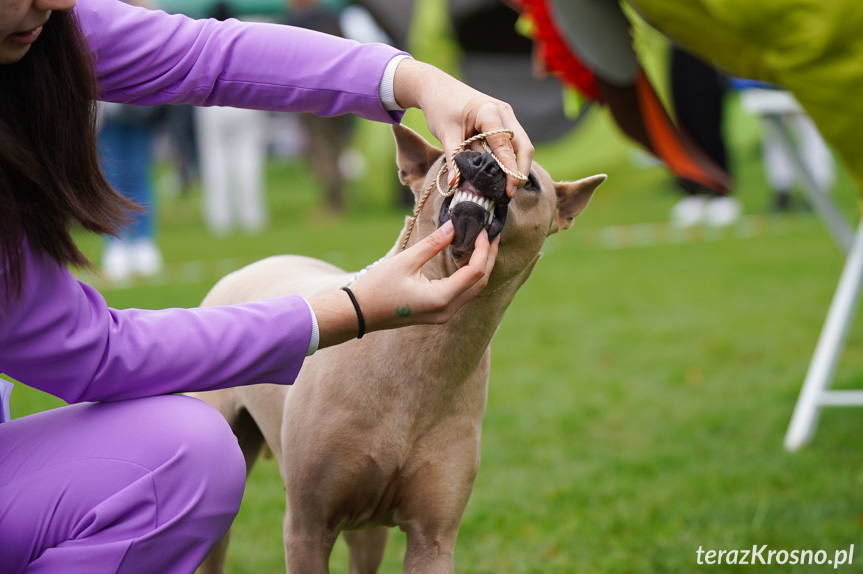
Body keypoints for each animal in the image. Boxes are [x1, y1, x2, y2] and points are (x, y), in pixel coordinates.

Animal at [192, 127, 604, 574]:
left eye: (528, 181)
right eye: (460, 151)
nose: (484, 165)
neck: (424, 360)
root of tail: (253, 265)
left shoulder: (433, 538)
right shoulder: (307, 529)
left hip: (367, 529)